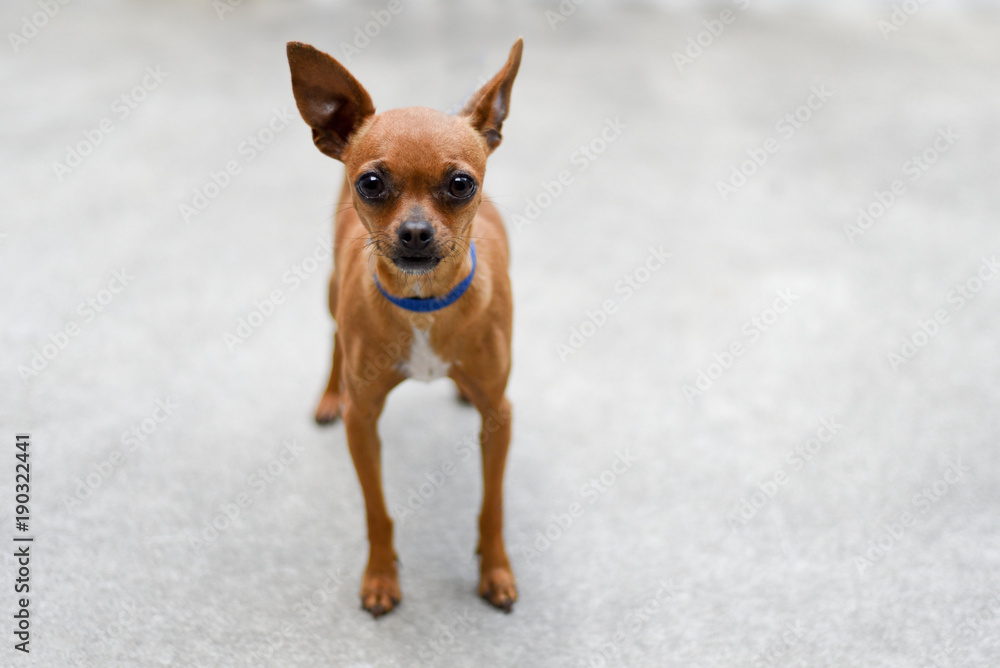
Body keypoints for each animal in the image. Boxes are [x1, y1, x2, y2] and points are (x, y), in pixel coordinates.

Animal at [288, 39, 524, 620]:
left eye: (461, 184)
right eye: (371, 183)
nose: (415, 232)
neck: (423, 305)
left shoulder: (500, 416)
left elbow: (492, 506)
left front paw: (495, 571)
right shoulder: (363, 422)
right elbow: (377, 512)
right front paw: (379, 577)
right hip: (331, 292)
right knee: (332, 338)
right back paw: (329, 395)